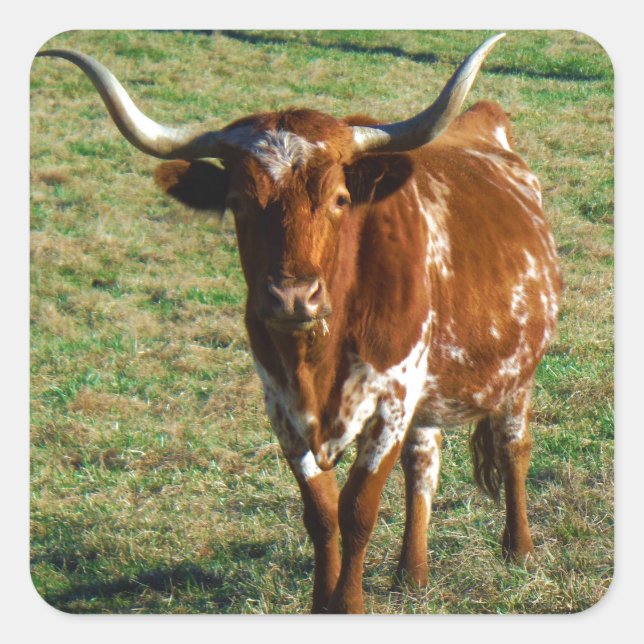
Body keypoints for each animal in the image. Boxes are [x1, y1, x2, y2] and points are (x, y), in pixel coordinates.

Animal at [35, 33, 561, 613]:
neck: (317, 356)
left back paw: (518, 549)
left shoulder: (391, 402)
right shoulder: (284, 409)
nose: (291, 297)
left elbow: (357, 510)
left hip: (517, 373)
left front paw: (349, 605)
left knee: (513, 447)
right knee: (424, 462)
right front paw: (322, 604)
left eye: (340, 199)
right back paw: (412, 573)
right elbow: (322, 514)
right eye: (237, 203)